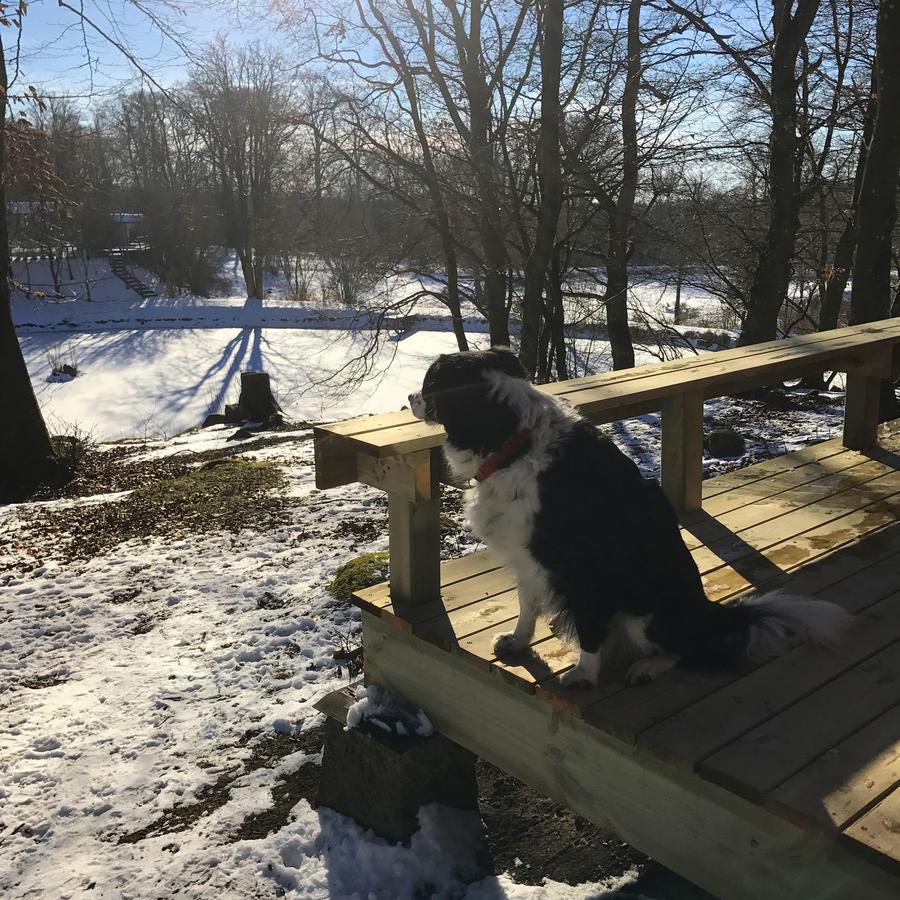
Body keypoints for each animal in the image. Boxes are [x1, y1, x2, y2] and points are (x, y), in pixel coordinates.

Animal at [410, 348, 852, 684]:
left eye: (430, 383)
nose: (409, 398)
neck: (514, 443)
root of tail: (710, 614)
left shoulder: (582, 566)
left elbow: (588, 625)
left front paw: (584, 675)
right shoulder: (528, 557)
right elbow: (528, 605)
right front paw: (519, 643)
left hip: (644, 607)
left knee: (684, 651)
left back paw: (648, 666)